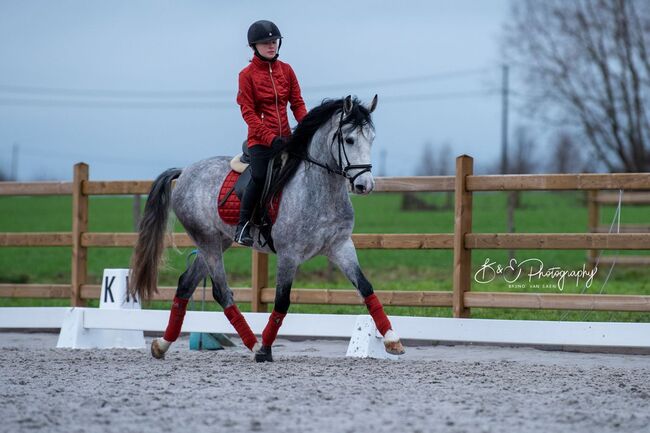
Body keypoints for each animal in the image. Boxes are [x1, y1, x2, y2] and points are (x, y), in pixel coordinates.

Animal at [128, 95, 402, 362]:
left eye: (372, 138)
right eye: (349, 139)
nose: (365, 185)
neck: (320, 190)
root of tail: (185, 171)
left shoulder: (340, 246)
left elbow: (366, 288)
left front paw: (392, 340)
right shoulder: (289, 254)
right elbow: (281, 301)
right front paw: (265, 351)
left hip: (217, 242)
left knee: (186, 284)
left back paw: (162, 345)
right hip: (207, 241)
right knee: (221, 291)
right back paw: (253, 345)